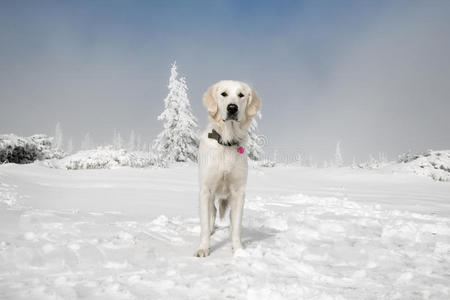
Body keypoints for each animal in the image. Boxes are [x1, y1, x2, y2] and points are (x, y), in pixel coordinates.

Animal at [194, 80, 264, 258]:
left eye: (241, 95)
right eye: (223, 94)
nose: (232, 108)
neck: (226, 141)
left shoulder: (238, 192)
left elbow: (237, 224)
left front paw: (238, 250)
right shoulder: (206, 190)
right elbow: (204, 223)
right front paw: (203, 248)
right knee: (212, 212)